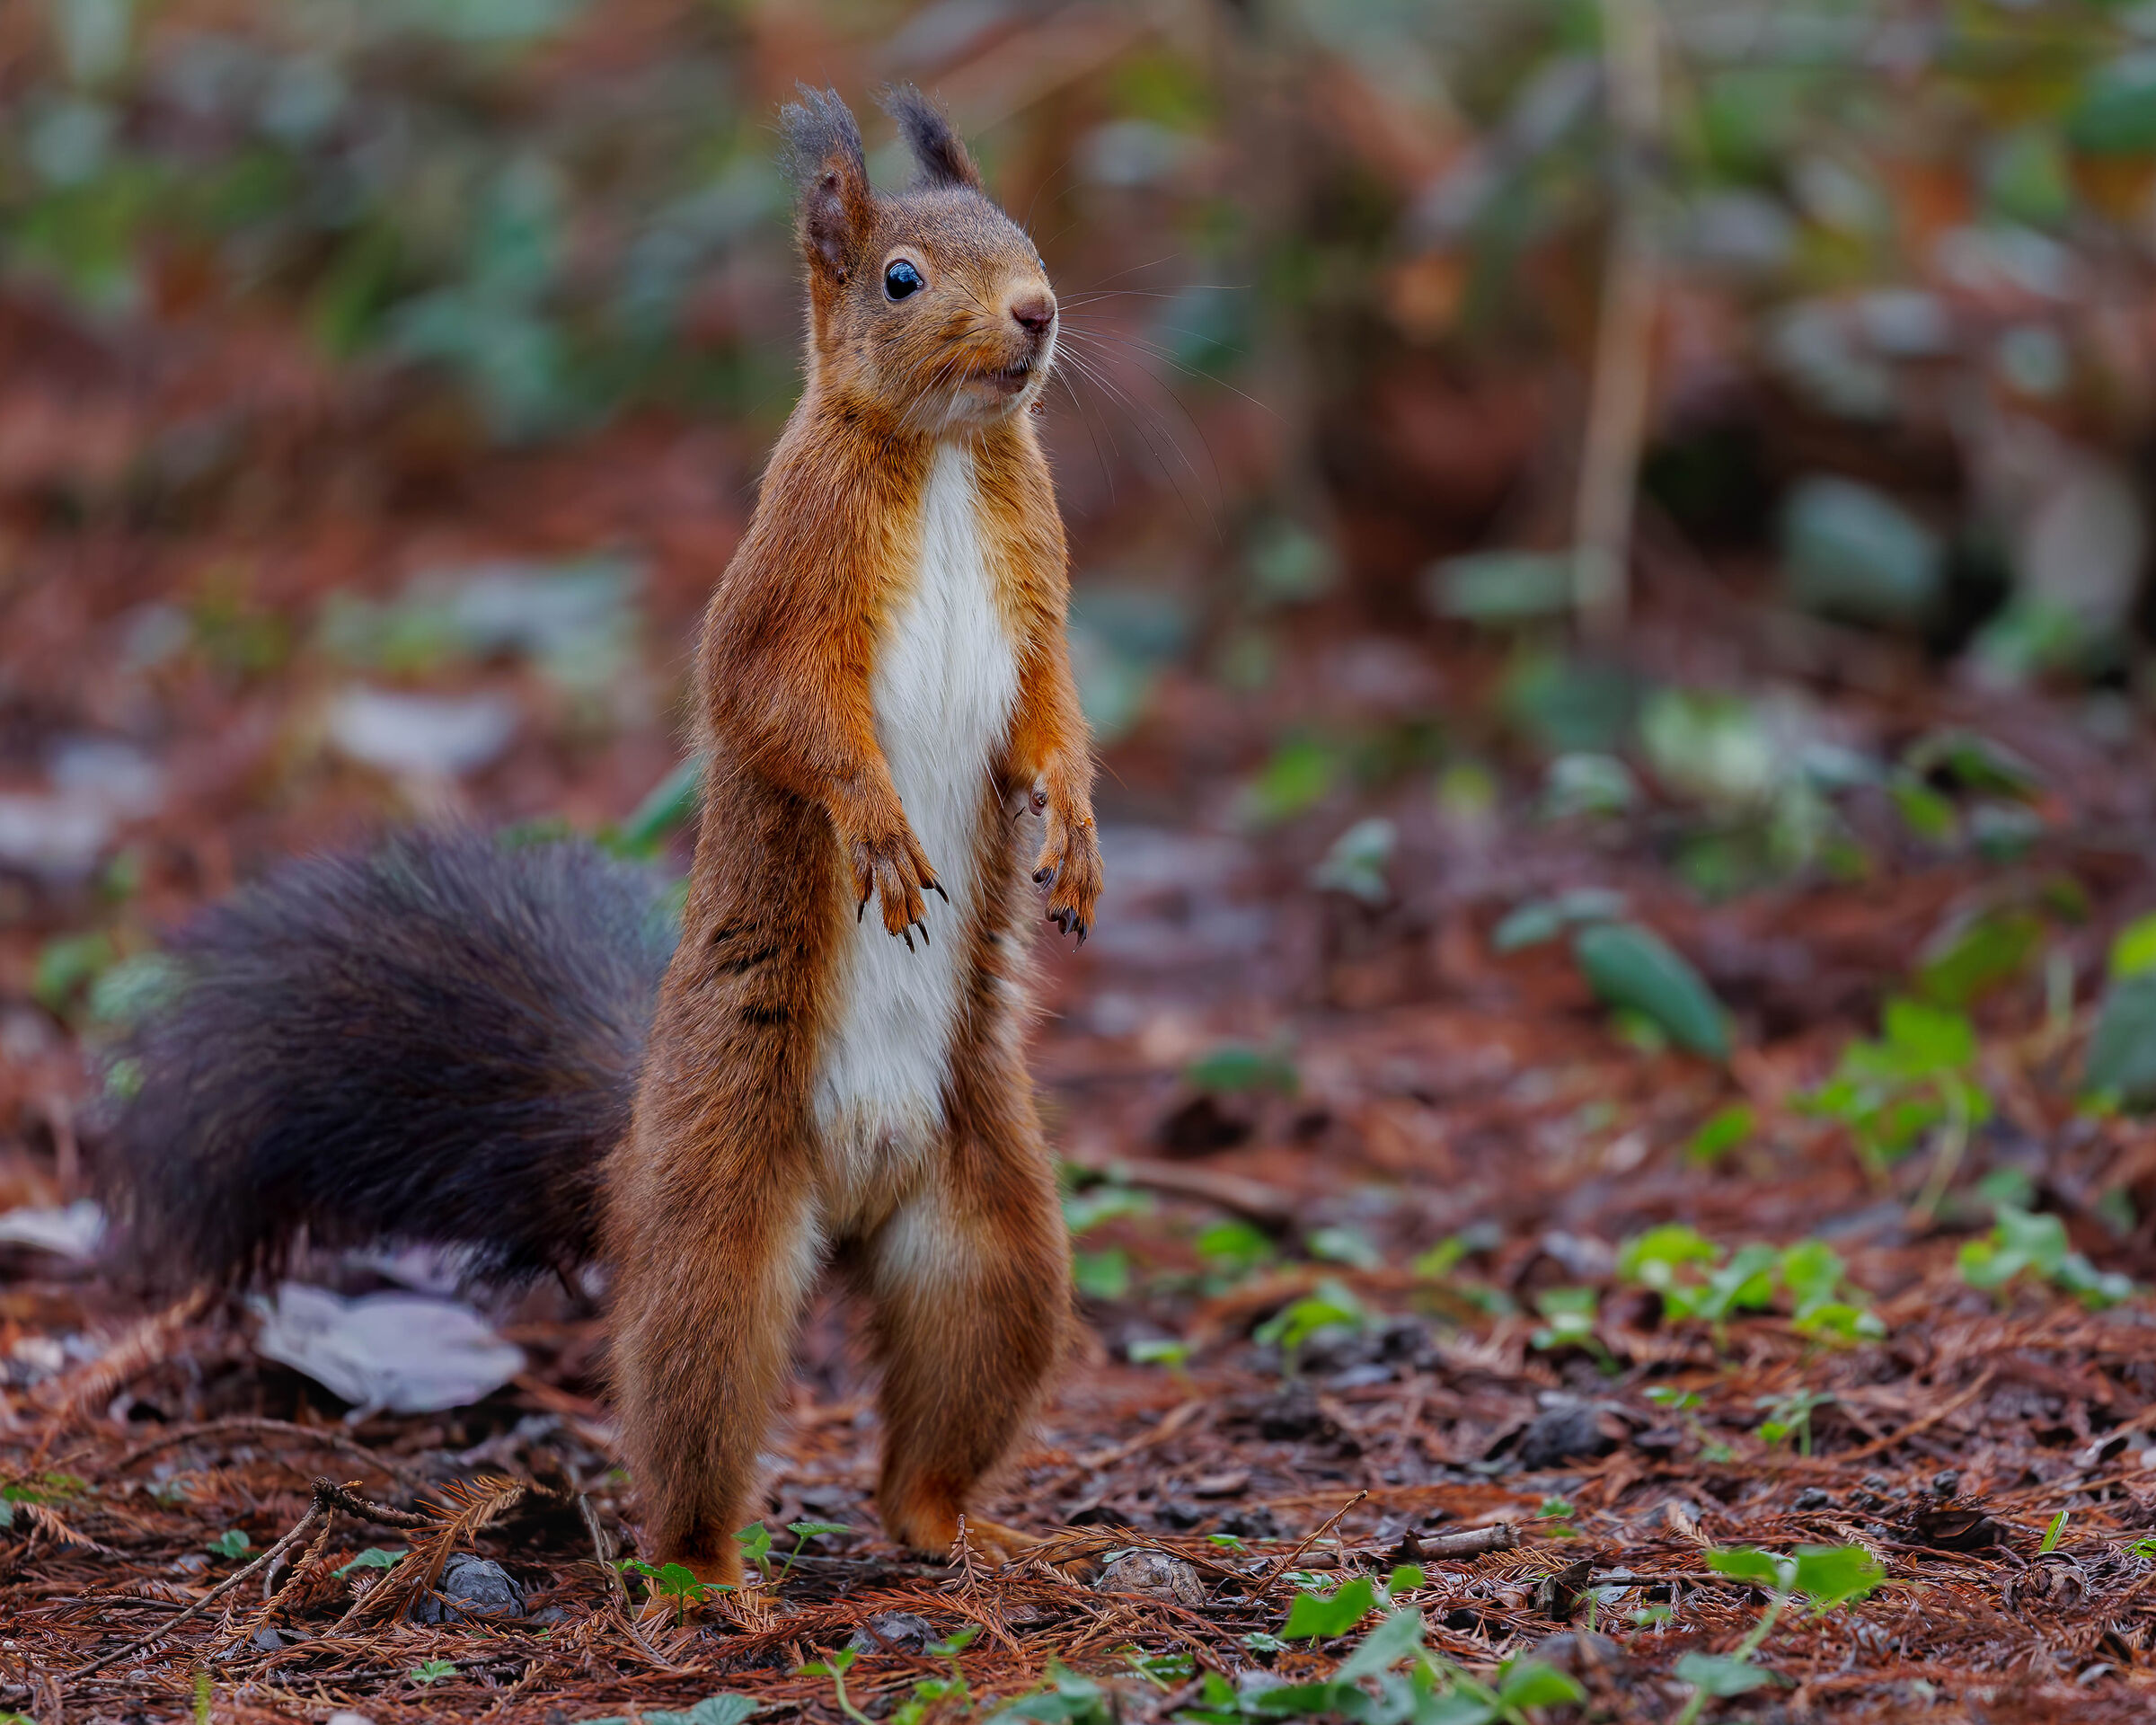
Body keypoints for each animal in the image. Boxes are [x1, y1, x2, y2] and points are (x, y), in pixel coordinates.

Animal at [99, 86, 1103, 1592]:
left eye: (1029, 237)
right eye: (900, 278)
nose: (1037, 312)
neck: (937, 456)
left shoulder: (1033, 579)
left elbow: (1050, 715)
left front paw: (1079, 829)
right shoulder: (783, 584)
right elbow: (784, 714)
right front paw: (877, 829)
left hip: (992, 1235)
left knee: (943, 1407)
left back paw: (958, 1530)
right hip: (718, 1214)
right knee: (692, 1394)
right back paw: (710, 1581)